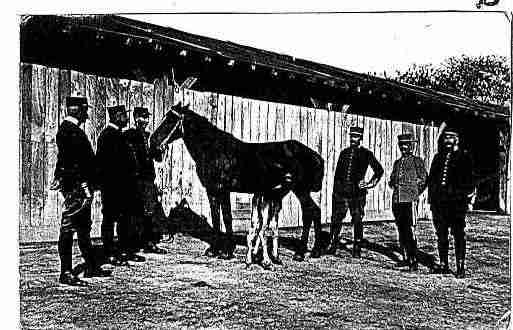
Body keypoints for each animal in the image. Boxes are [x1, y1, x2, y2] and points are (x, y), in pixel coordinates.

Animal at [149, 103, 324, 260]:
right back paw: (312, 251)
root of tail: (314, 155)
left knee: (310, 212)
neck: (214, 149)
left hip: (300, 189)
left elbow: (226, 217)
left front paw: (227, 251)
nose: (153, 143)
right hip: (299, 190)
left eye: (171, 120)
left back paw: (302, 252)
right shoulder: (212, 190)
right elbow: (216, 217)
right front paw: (215, 250)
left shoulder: (223, 189)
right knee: (314, 211)